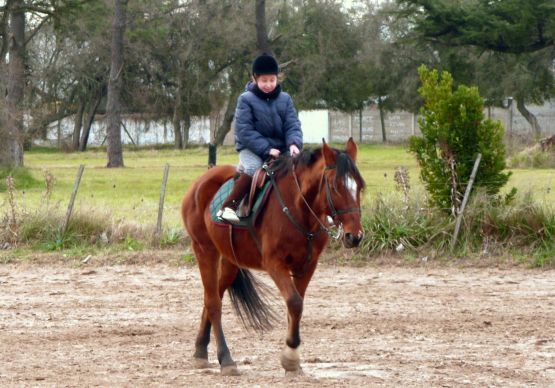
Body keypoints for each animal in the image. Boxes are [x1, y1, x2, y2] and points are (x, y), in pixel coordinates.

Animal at [180, 137, 368, 376]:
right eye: (335, 186)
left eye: (359, 186)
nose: (355, 236)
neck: (297, 208)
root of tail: (200, 182)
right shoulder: (275, 264)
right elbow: (294, 303)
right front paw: (290, 356)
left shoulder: (307, 266)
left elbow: (296, 307)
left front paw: (292, 361)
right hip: (204, 250)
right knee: (213, 303)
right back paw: (226, 359)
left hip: (230, 261)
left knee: (212, 298)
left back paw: (200, 351)